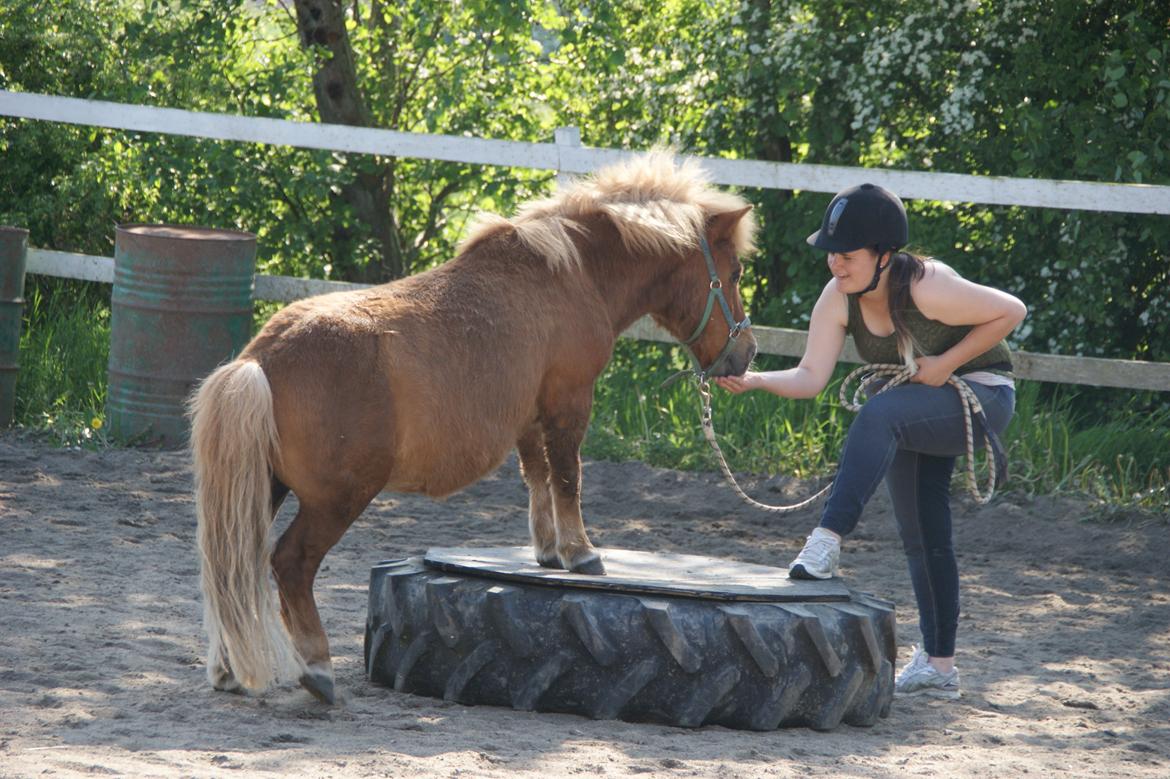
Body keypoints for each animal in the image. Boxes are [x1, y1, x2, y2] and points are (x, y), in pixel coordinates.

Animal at [191, 149, 758, 697]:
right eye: (732, 274)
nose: (746, 353)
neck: (573, 273)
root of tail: (260, 360)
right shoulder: (569, 400)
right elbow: (568, 477)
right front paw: (580, 553)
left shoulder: (529, 415)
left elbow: (538, 478)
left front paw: (547, 550)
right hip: (335, 500)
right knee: (289, 565)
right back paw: (317, 666)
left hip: (264, 487)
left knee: (229, 565)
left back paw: (227, 669)